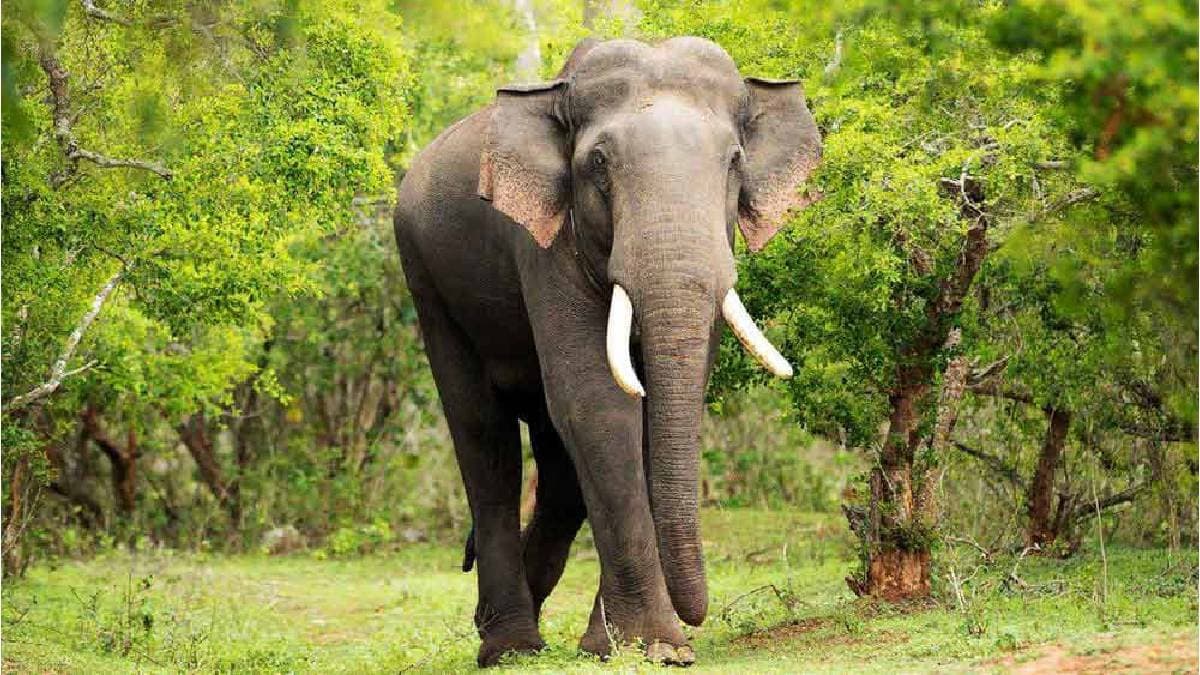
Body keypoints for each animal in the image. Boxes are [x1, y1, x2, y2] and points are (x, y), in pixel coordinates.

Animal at [393, 37, 821, 667]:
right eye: (598, 164)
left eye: (735, 162)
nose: (698, 617)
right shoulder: (543, 244)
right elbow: (598, 403)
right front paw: (656, 647)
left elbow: (648, 416)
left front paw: (627, 647)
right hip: (425, 279)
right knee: (485, 439)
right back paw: (510, 648)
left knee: (557, 469)